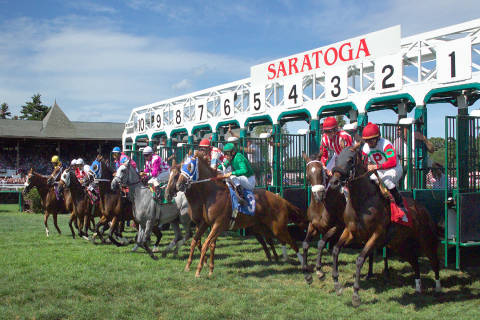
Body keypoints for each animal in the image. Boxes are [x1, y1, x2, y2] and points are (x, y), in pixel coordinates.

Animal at [176, 155, 308, 278]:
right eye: (181, 166)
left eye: (189, 167)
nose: (179, 185)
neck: (214, 194)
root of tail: (280, 199)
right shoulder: (206, 223)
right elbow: (198, 242)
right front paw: (197, 268)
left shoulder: (218, 224)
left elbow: (206, 245)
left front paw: (198, 271)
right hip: (264, 227)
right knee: (277, 241)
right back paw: (280, 259)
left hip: (278, 227)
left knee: (292, 242)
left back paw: (302, 264)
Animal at [328, 144, 440, 306]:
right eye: (336, 159)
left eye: (350, 159)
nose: (334, 182)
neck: (363, 200)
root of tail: (423, 209)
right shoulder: (350, 231)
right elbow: (336, 250)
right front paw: (337, 285)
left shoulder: (377, 234)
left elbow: (360, 259)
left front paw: (356, 294)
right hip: (401, 245)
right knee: (415, 261)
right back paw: (418, 288)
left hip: (425, 240)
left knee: (434, 260)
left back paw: (438, 288)